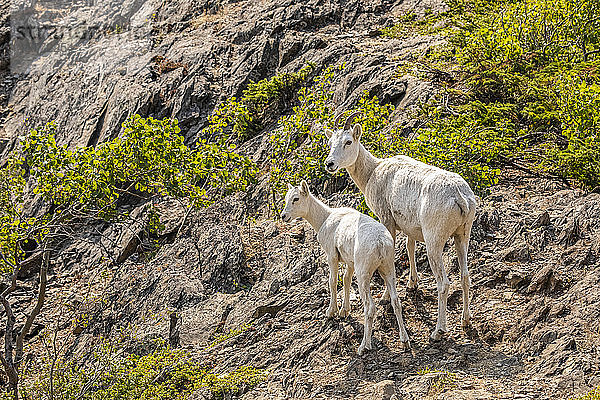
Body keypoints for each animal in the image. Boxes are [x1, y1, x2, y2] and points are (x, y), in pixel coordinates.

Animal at [282, 180, 412, 354]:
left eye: (296, 199)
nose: (284, 216)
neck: (324, 219)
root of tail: (380, 243)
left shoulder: (332, 256)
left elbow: (332, 282)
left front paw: (331, 312)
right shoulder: (349, 262)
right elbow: (346, 281)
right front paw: (344, 311)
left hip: (363, 273)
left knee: (369, 307)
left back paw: (364, 346)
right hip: (388, 268)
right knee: (396, 301)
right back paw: (405, 342)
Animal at [324, 112, 478, 340]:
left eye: (348, 141)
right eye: (330, 142)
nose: (330, 164)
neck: (372, 172)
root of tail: (460, 197)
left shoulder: (387, 220)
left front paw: (385, 298)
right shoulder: (409, 227)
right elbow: (409, 248)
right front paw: (412, 284)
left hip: (434, 242)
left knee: (443, 283)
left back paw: (438, 331)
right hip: (462, 236)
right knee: (465, 276)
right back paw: (465, 320)